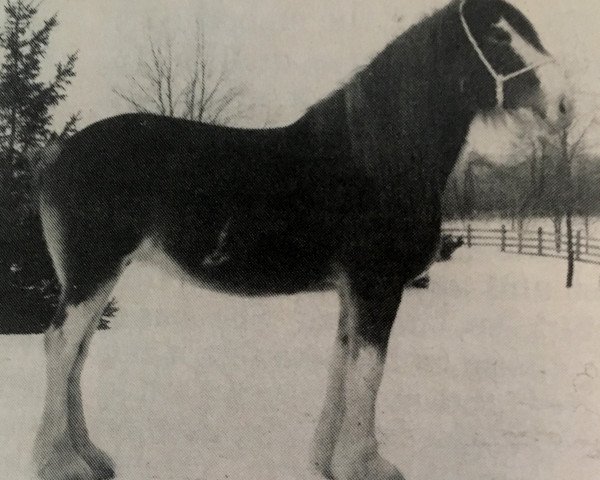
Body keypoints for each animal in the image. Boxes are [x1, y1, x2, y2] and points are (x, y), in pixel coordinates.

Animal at [30, 0, 576, 480]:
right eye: (498, 36)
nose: (565, 105)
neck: (376, 158)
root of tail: (59, 152)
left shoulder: (351, 290)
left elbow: (344, 364)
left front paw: (326, 463)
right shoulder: (377, 286)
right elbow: (369, 370)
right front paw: (366, 465)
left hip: (99, 277)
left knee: (77, 353)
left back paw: (92, 457)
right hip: (92, 273)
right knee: (61, 345)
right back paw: (61, 463)